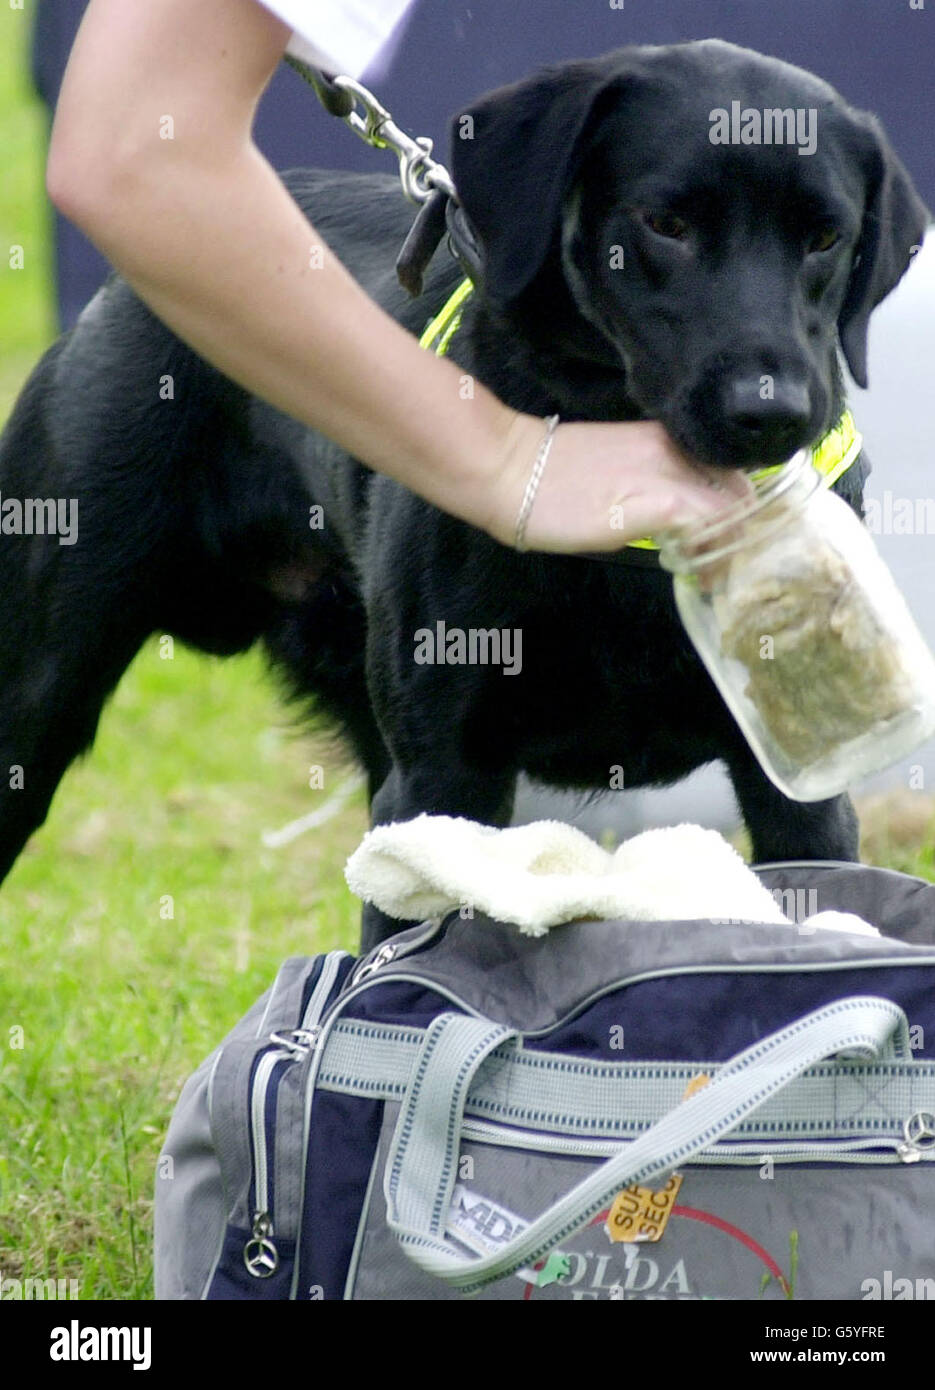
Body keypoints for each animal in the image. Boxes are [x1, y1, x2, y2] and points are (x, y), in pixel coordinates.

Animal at [0, 46, 928, 956]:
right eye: (664, 223)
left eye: (825, 237)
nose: (769, 412)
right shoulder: (441, 778)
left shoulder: (802, 785)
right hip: (39, 686)